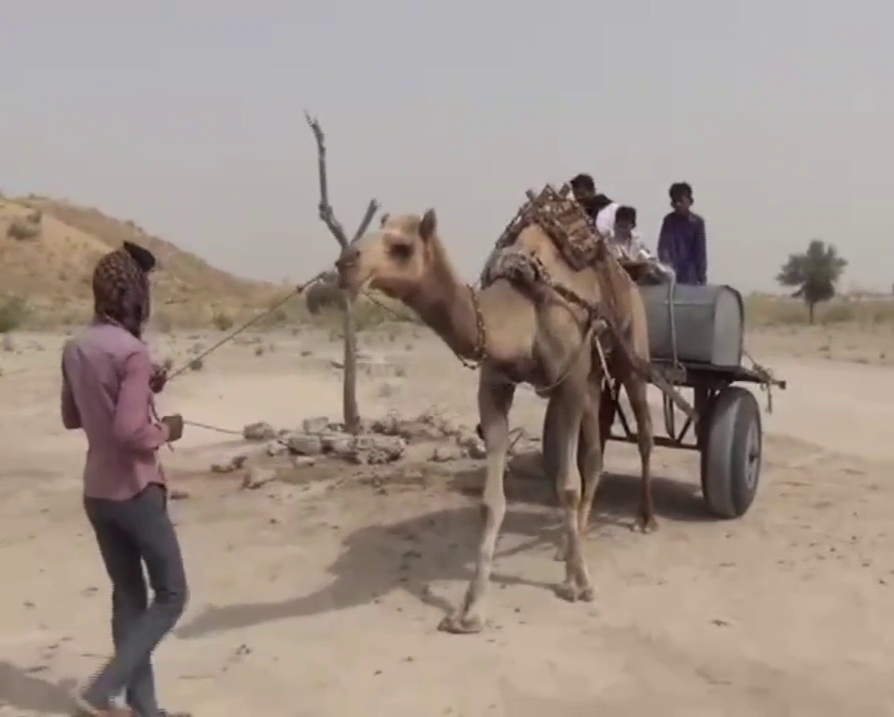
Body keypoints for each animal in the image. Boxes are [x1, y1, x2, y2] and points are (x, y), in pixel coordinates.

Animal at [332, 207, 656, 632]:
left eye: (401, 246)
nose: (345, 263)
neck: (522, 313)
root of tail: (628, 277)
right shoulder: (496, 385)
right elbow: (491, 501)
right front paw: (469, 611)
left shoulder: (567, 381)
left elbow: (567, 485)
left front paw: (580, 584)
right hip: (592, 378)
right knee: (594, 454)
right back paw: (572, 544)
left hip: (631, 352)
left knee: (644, 431)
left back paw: (643, 520)